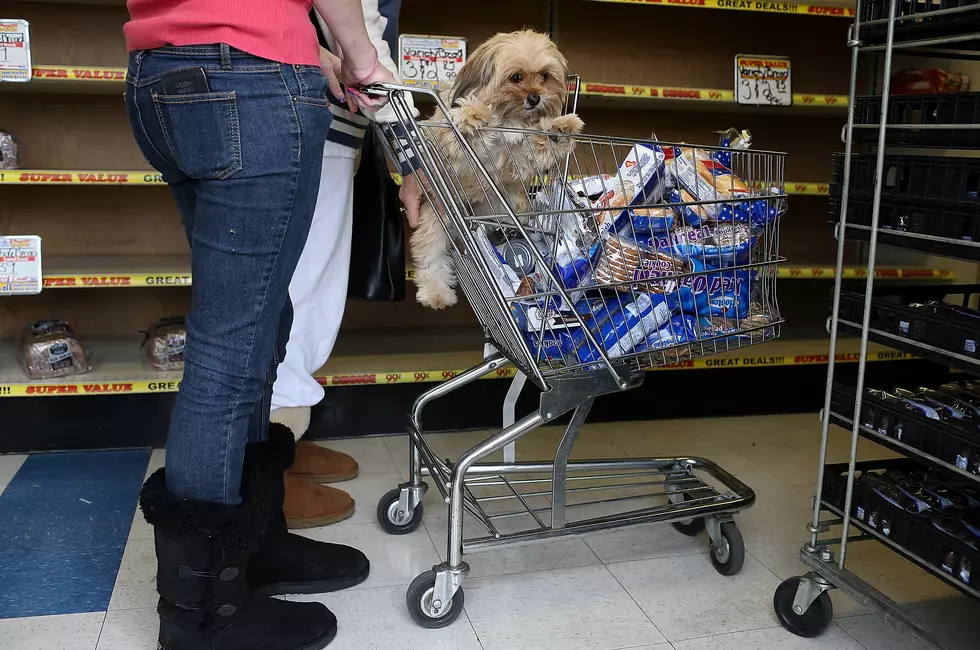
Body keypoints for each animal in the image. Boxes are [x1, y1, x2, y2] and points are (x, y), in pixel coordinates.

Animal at [412, 31, 584, 310]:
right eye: (516, 77)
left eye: (544, 76)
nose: (535, 98)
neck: (508, 117)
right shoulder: (457, 152)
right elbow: (462, 134)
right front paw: (472, 115)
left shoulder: (518, 160)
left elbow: (536, 148)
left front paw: (561, 127)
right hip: (438, 215)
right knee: (430, 254)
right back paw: (435, 293)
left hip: (510, 209)